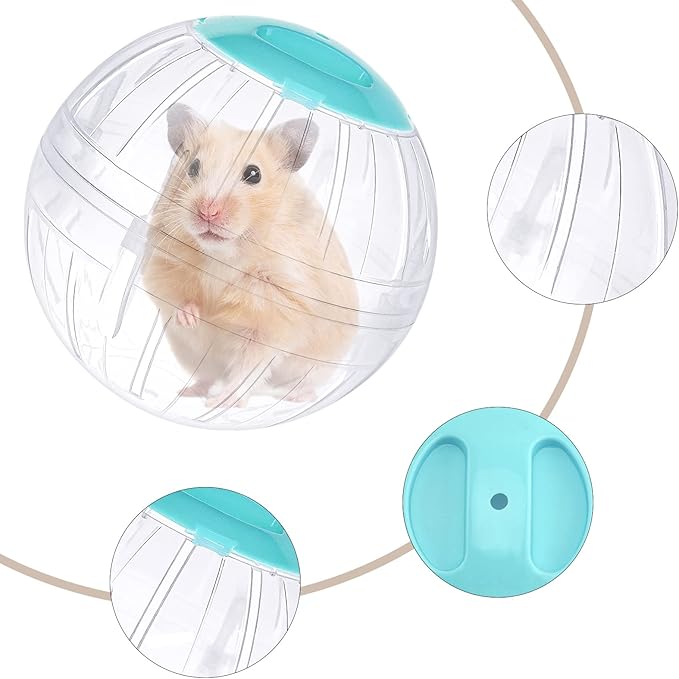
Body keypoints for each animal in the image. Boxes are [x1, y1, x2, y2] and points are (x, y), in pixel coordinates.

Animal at [142, 104, 358, 409]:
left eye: (253, 174)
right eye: (193, 167)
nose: (207, 212)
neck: (223, 253)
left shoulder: (274, 313)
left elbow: (248, 368)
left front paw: (221, 403)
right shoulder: (163, 264)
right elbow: (175, 296)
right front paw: (191, 317)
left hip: (322, 363)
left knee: (302, 382)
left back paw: (294, 397)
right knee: (207, 375)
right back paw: (189, 392)